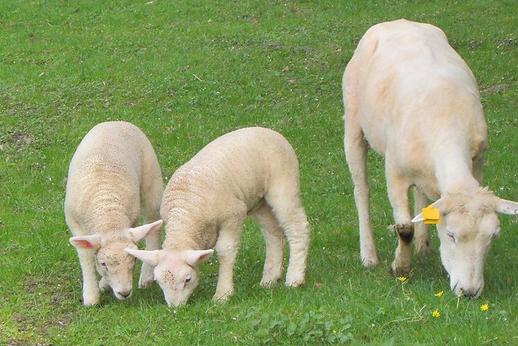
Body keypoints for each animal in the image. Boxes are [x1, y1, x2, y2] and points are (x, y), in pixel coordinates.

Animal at [65, 121, 164, 306]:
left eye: (133, 260)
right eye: (103, 263)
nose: (124, 293)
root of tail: (115, 122)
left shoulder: (130, 221)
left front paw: (102, 285)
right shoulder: (74, 222)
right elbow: (86, 256)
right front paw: (91, 296)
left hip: (151, 182)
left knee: (152, 227)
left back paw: (146, 277)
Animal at [127, 126, 312, 306]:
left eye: (188, 279)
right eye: (159, 281)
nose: (174, 308)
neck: (185, 216)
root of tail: (270, 131)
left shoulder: (233, 215)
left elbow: (225, 251)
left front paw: (223, 294)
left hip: (283, 185)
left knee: (297, 227)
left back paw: (294, 278)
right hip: (259, 202)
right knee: (273, 233)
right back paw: (269, 279)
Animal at [346, 19, 518, 298]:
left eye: (492, 237)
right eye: (451, 235)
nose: (469, 292)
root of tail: (397, 21)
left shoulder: (477, 162)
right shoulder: (394, 172)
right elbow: (404, 228)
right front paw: (400, 267)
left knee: (421, 194)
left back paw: (423, 245)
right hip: (353, 124)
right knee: (361, 190)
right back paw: (369, 255)